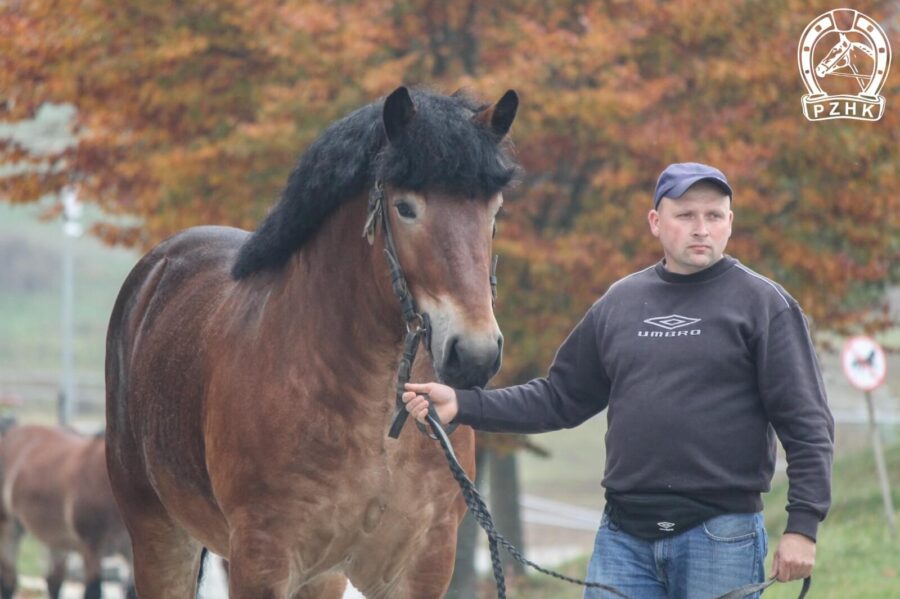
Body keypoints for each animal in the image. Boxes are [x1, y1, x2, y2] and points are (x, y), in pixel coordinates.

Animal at [0, 424, 135, 599]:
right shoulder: (91, 547)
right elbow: (93, 591)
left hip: (56, 538)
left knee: (53, 582)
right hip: (9, 528)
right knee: (9, 580)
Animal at [103, 85, 520, 599]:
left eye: (494, 210)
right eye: (405, 207)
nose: (474, 354)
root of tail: (155, 271)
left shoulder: (421, 565)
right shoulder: (263, 561)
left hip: (320, 576)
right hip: (159, 535)